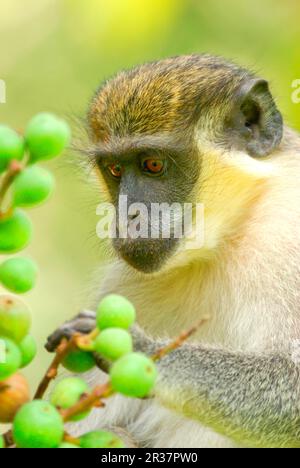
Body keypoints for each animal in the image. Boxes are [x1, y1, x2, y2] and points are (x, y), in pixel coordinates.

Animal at [45, 53, 300, 448]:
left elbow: (292, 386)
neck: (228, 235)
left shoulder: (289, 228)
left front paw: (137, 350)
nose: (128, 213)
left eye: (153, 165)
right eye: (115, 170)